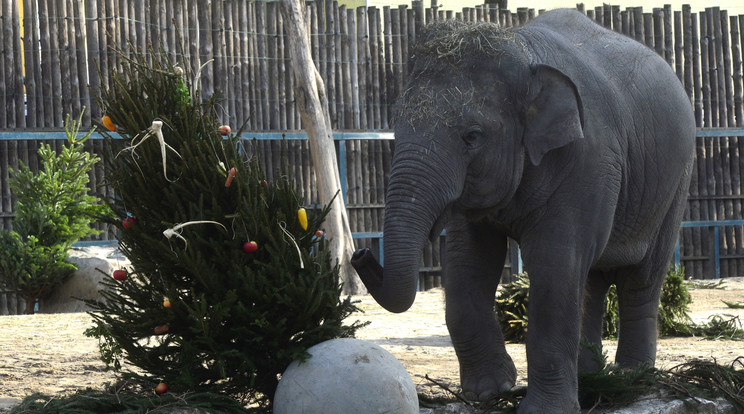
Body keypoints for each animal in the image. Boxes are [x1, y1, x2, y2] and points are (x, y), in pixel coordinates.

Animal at [352, 9, 696, 414]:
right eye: (396, 127)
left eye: (472, 136)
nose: (360, 253)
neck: (520, 49)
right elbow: (470, 260)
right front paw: (491, 391)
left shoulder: (588, 159)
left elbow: (554, 263)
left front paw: (542, 408)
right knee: (592, 281)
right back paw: (591, 377)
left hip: (675, 182)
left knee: (640, 278)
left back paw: (631, 378)